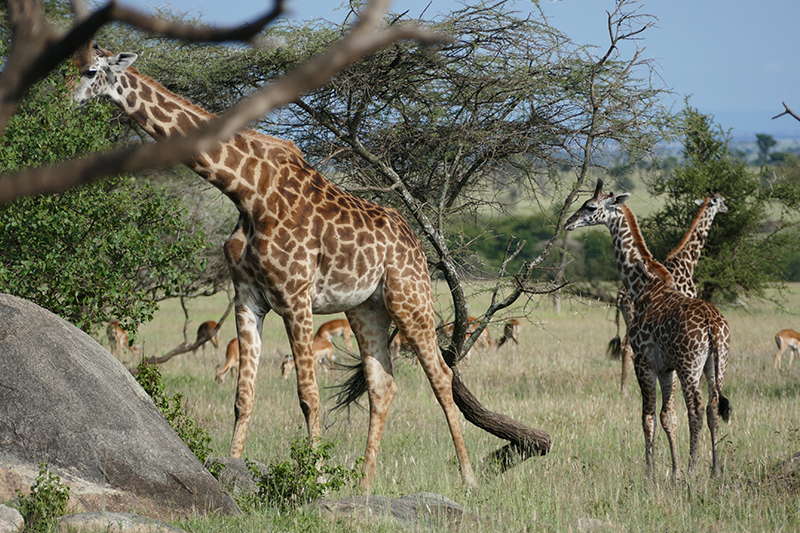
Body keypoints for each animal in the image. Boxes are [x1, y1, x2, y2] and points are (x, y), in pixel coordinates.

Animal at [72, 43, 476, 488]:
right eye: (69, 66)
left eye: (90, 71)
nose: (67, 99)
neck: (247, 191)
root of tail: (415, 241)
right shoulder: (248, 297)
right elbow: (243, 396)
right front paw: (232, 469)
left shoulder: (295, 298)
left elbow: (308, 395)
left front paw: (317, 479)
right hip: (366, 308)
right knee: (382, 385)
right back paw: (366, 483)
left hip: (410, 298)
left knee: (441, 376)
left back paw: (468, 478)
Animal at [608, 193, 728, 392]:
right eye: (721, 201)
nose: (727, 207)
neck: (687, 261)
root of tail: (620, 295)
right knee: (628, 347)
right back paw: (624, 389)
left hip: (628, 318)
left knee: (626, 346)